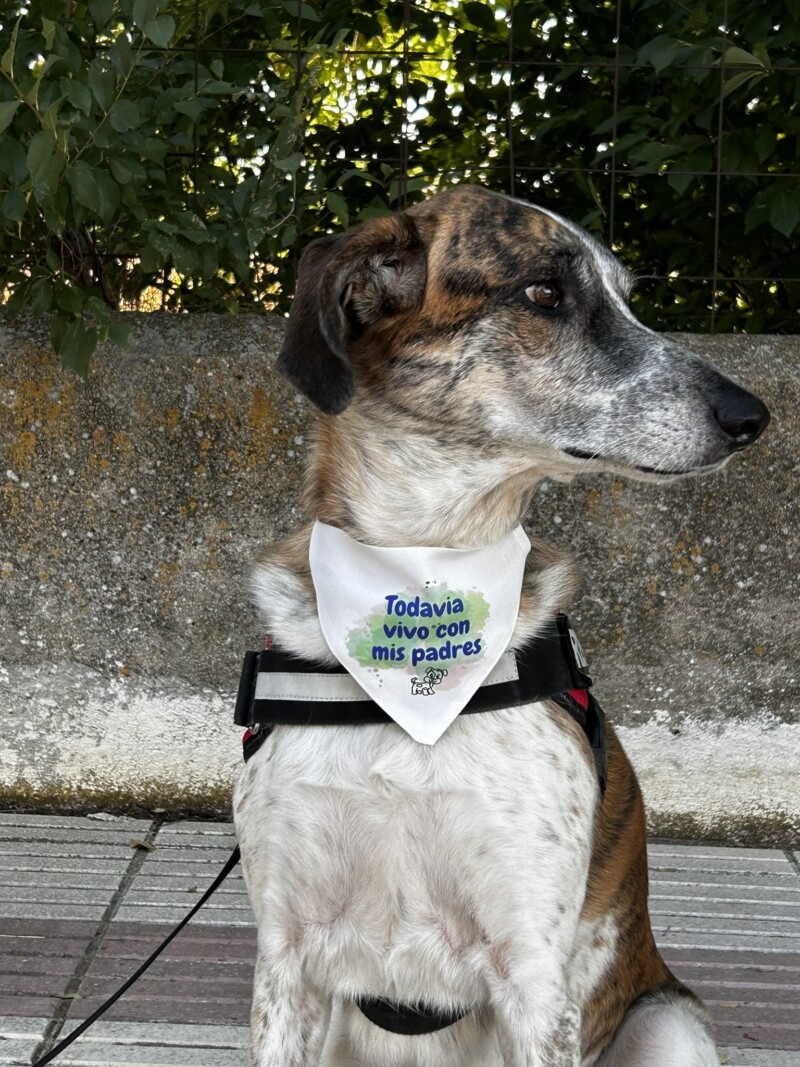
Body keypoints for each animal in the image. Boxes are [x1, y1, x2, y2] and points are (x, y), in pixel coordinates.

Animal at [234, 187, 772, 1062]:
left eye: (627, 295)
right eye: (545, 292)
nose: (751, 415)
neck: (417, 586)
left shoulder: (531, 971)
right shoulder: (286, 957)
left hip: (670, 1023)